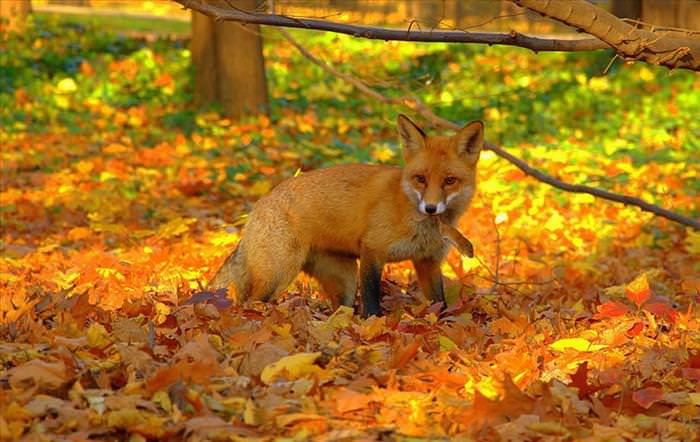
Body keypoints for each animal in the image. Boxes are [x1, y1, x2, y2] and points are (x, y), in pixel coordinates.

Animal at [208, 112, 482, 316]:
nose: (430, 208)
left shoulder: (428, 261)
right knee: (249, 302)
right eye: (421, 179)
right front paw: (373, 326)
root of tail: (259, 203)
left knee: (340, 309)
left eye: (449, 181)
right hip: (278, 273)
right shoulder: (372, 249)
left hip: (344, 280)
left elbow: (440, 303)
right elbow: (371, 301)